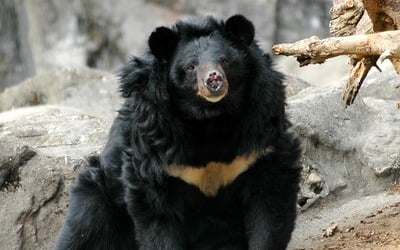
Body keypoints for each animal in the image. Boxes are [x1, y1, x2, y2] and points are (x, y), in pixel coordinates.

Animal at [54, 14, 302, 249]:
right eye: (191, 66)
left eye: (225, 61)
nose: (213, 79)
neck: (211, 118)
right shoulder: (157, 142)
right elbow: (157, 214)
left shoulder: (259, 130)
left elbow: (270, 202)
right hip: (101, 192)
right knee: (85, 226)